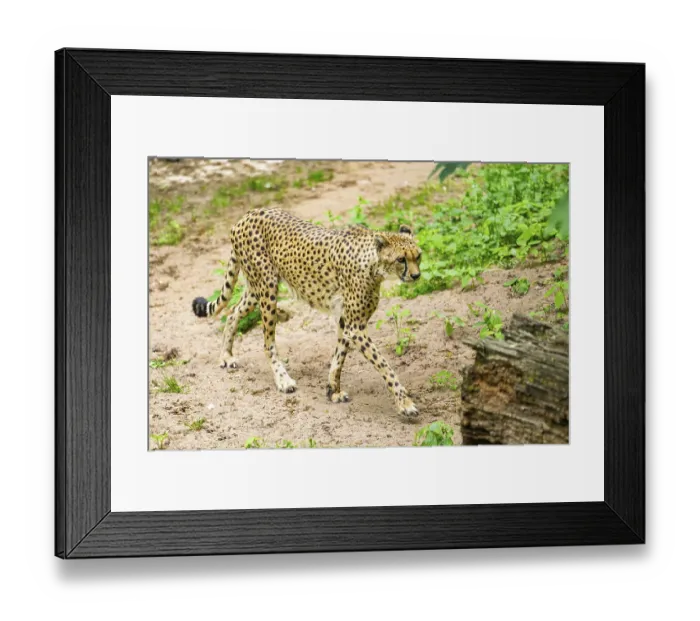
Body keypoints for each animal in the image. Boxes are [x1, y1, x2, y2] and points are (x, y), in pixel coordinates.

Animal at [192, 207, 422, 418]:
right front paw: (405, 403)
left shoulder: (346, 320)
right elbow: (384, 365)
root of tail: (248, 214)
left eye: (418, 256)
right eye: (401, 259)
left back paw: (226, 355)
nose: (416, 275)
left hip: (256, 288)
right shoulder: (356, 326)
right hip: (267, 288)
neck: (373, 264)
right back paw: (283, 379)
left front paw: (333, 390)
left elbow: (339, 357)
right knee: (267, 342)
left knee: (232, 312)